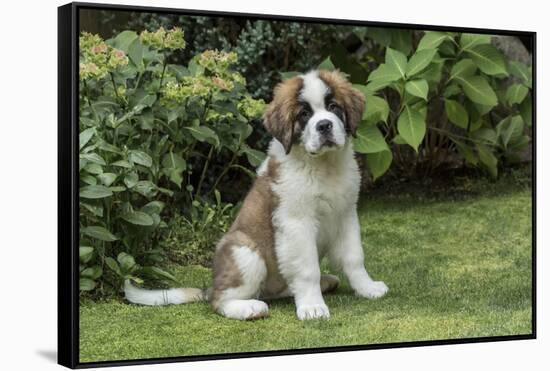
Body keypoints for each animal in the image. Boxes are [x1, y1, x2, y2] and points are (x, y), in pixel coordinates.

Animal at [126, 69, 390, 320]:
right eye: (304, 115)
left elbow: (354, 257)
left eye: (333, 107)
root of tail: (210, 286)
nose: (324, 125)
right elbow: (307, 269)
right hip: (245, 252)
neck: (323, 166)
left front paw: (367, 288)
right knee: (219, 300)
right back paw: (249, 308)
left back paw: (324, 282)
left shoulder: (346, 214)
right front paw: (312, 307)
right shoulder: (296, 223)